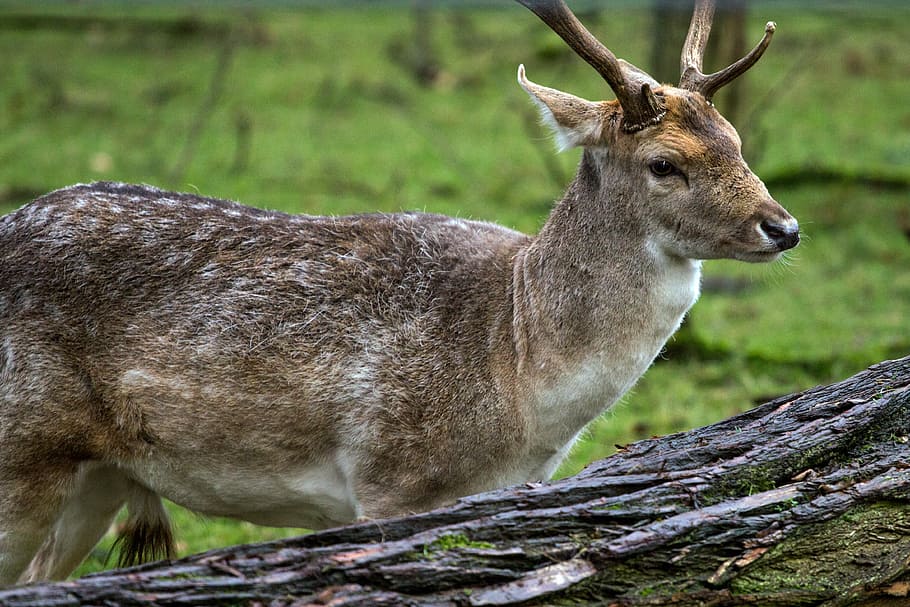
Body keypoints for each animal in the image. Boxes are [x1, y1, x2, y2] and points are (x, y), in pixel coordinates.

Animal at [0, 0, 798, 585]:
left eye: (735, 138)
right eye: (665, 163)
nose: (784, 226)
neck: (515, 369)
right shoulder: (388, 477)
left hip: (99, 475)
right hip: (21, 447)